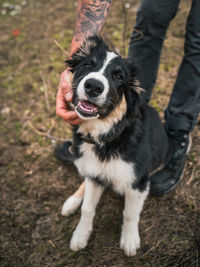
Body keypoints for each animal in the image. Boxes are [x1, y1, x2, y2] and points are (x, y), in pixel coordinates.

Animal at [60, 36, 170, 258]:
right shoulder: (94, 174)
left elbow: (130, 213)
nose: (93, 86)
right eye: (87, 66)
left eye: (118, 76)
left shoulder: (139, 181)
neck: (107, 138)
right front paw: (80, 236)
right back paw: (72, 202)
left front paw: (129, 240)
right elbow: (87, 209)